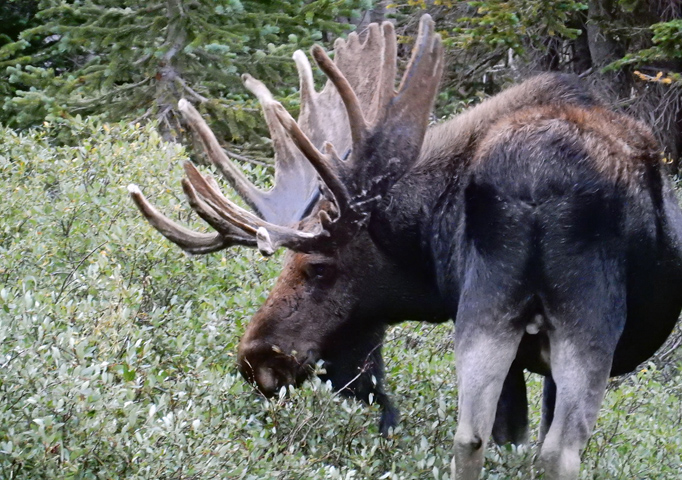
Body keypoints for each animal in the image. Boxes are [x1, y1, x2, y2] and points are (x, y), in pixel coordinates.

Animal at [129, 15, 680, 480]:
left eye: (317, 267)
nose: (255, 356)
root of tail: (537, 187)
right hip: (573, 314)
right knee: (546, 447)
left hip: (502, 309)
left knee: (477, 435)